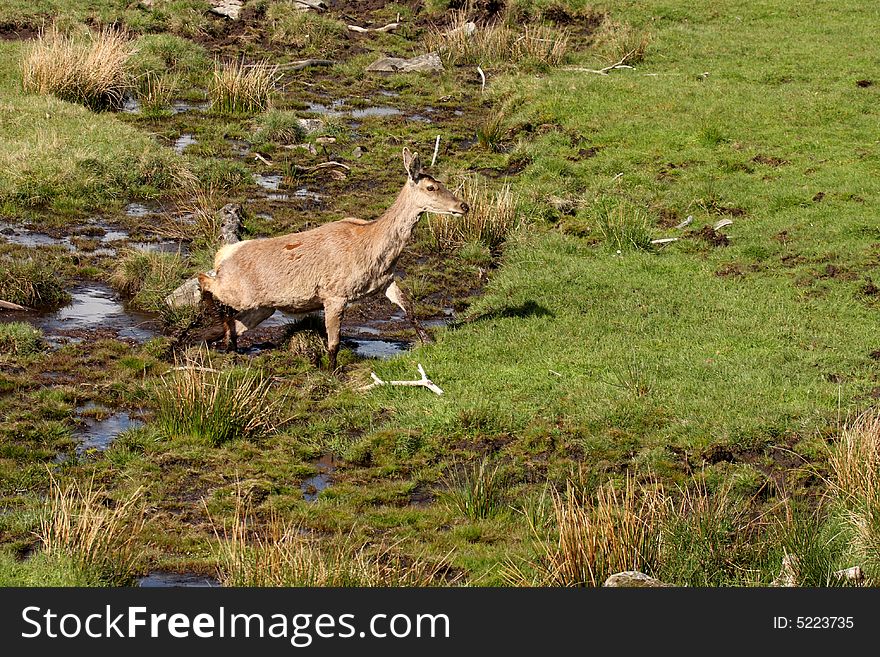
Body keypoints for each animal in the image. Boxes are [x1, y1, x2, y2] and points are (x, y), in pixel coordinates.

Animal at [199, 147, 468, 368]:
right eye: (431, 187)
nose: (463, 206)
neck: (375, 252)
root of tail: (222, 255)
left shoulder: (386, 280)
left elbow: (409, 306)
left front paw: (428, 340)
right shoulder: (334, 294)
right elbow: (334, 342)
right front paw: (331, 370)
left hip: (264, 306)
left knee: (237, 323)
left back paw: (229, 345)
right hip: (240, 292)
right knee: (205, 280)